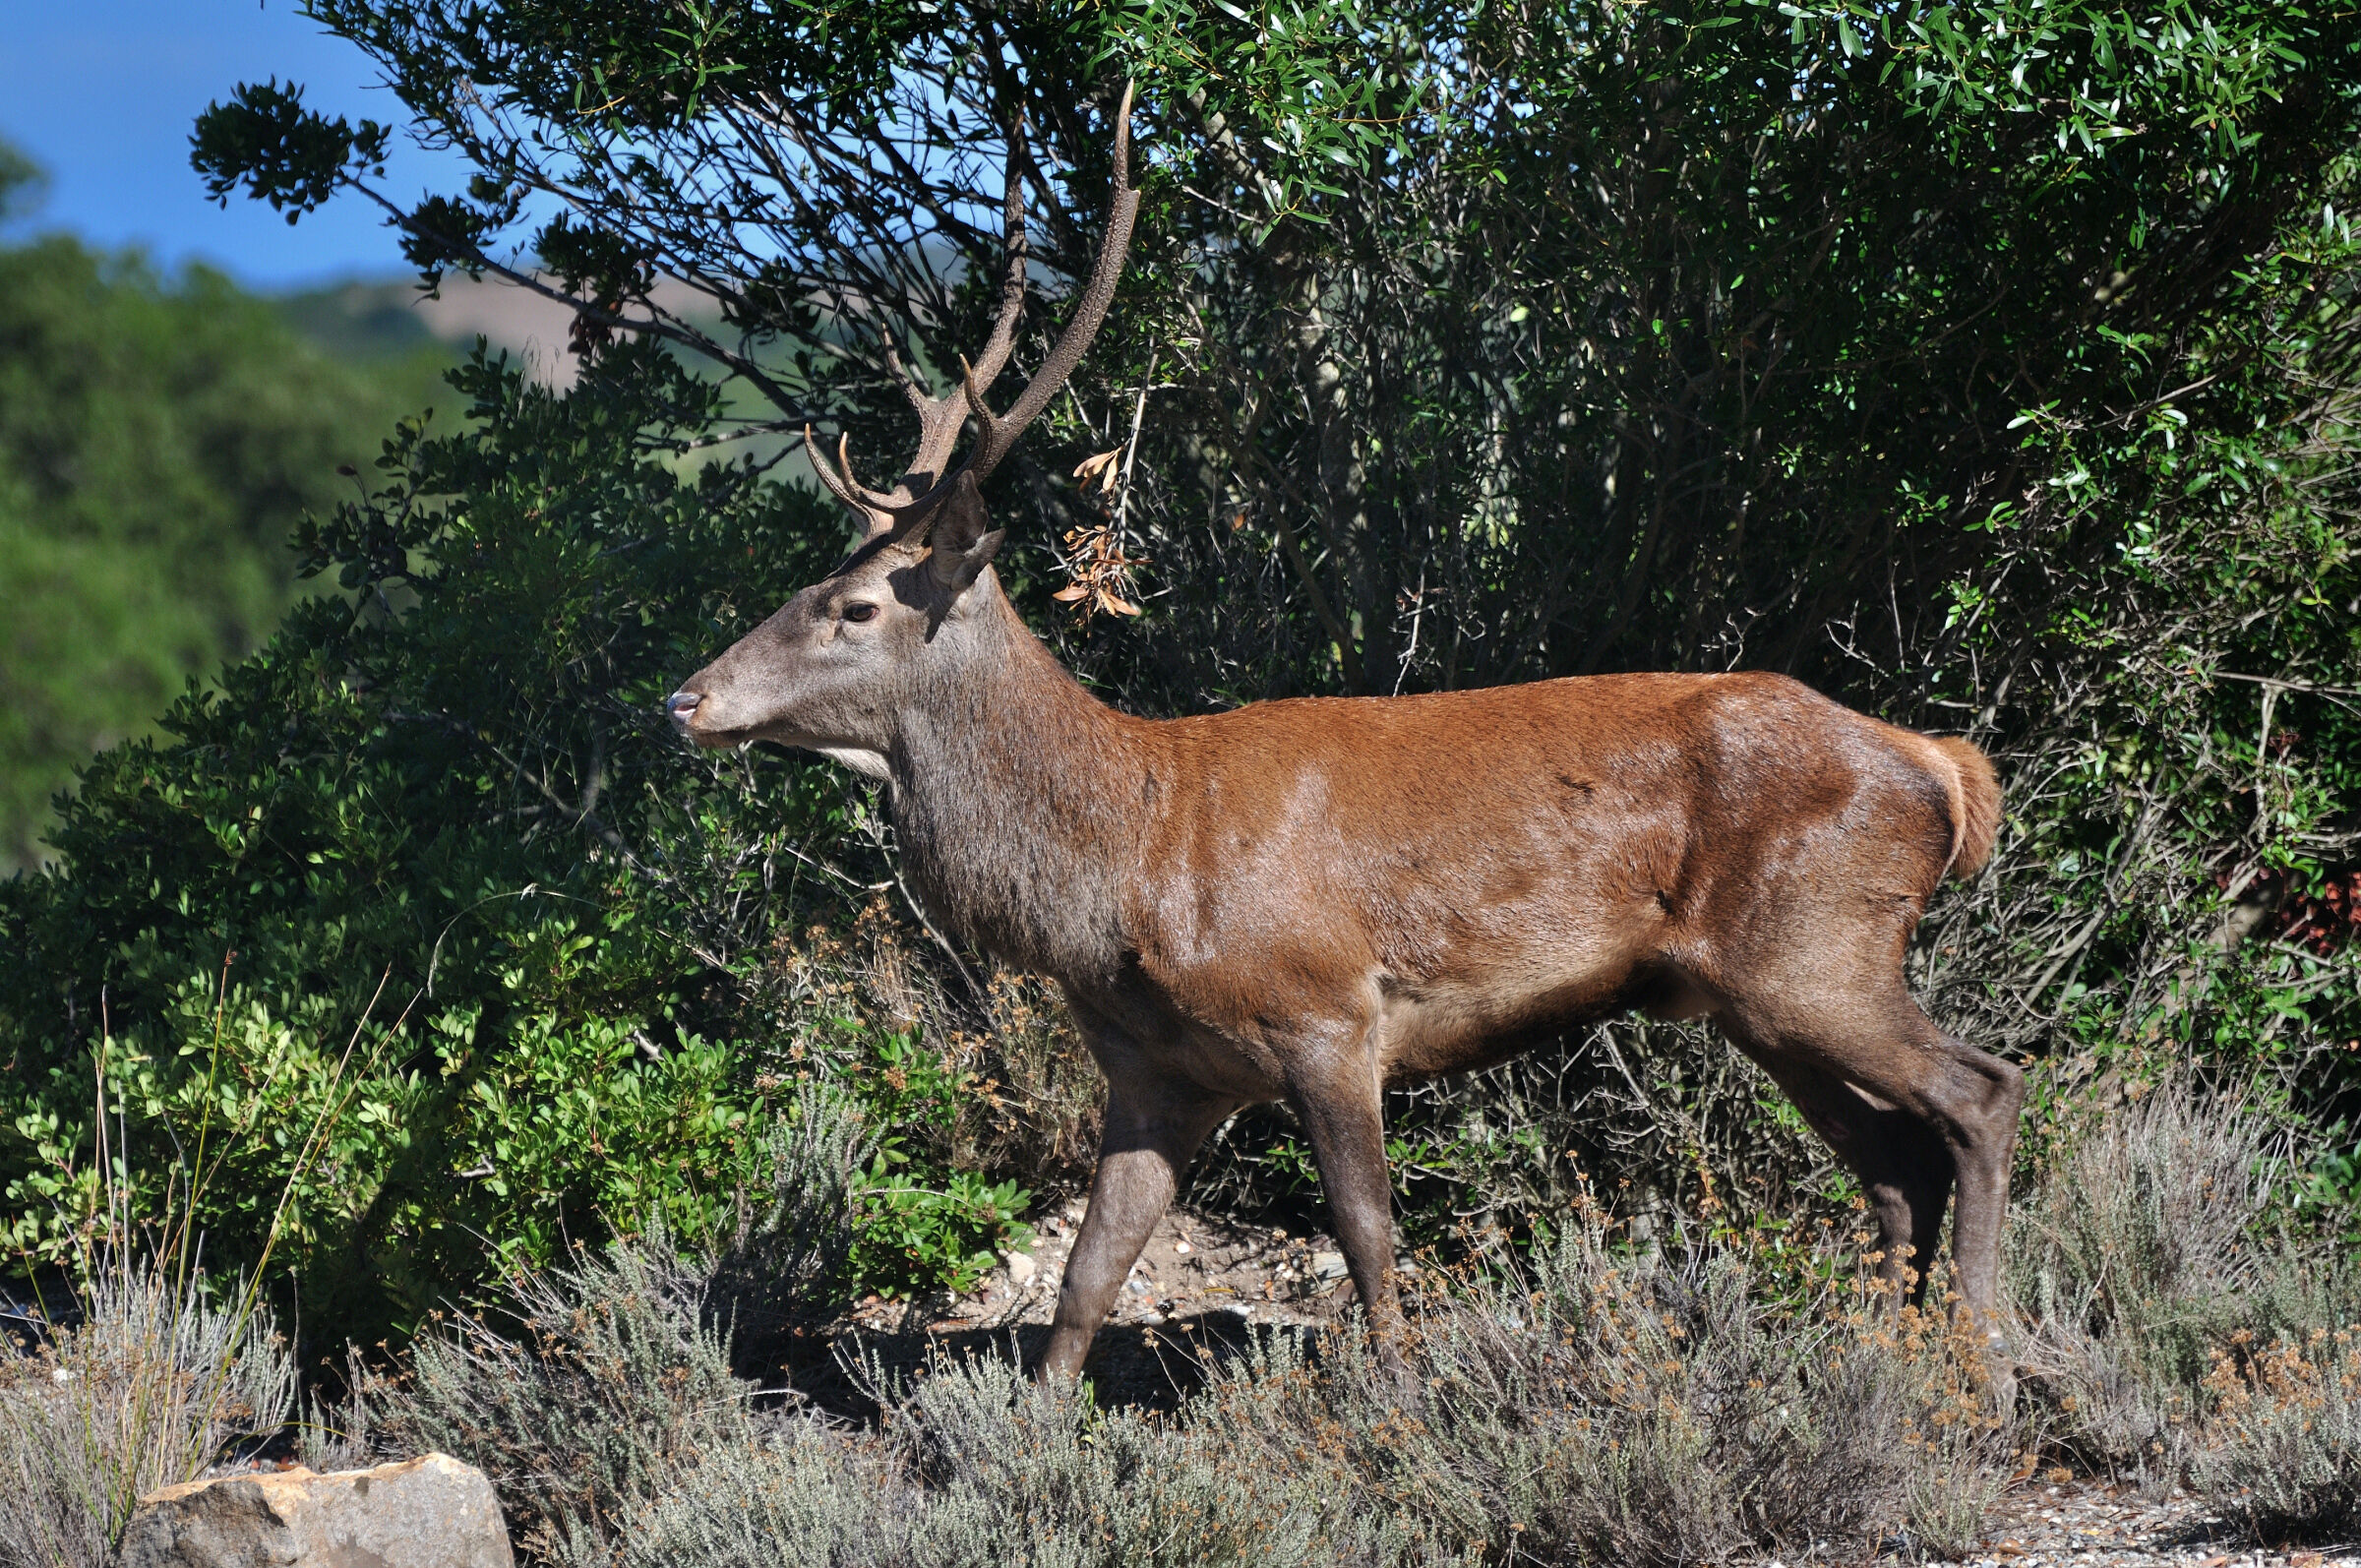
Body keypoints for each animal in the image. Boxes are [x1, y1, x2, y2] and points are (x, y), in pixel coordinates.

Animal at [666, 88, 2024, 1385]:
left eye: (855, 606)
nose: (688, 698)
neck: (1124, 868)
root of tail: (1946, 771)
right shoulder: (1161, 1072)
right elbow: (1087, 1280)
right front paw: (1035, 1434)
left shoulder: (1329, 1012)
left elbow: (1368, 1238)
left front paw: (1400, 1404)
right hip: (1749, 989)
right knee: (1892, 1157)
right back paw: (1887, 1357)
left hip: (1820, 944)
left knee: (1981, 1091)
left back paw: (1977, 1362)